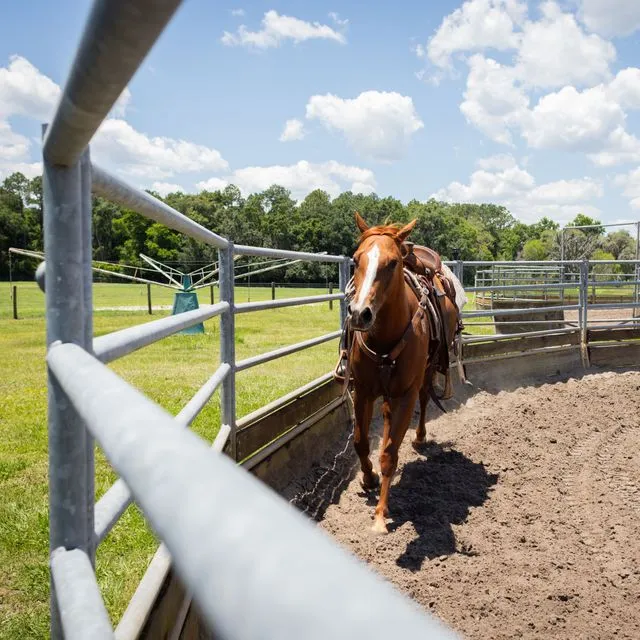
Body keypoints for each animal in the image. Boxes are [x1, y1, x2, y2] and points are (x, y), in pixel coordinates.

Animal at [344, 212, 466, 534]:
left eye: (393, 263)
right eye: (355, 260)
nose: (359, 314)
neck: (384, 340)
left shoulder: (404, 394)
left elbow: (389, 453)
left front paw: (380, 515)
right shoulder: (363, 391)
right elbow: (361, 441)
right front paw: (368, 478)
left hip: (426, 372)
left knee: (423, 401)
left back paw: (420, 438)